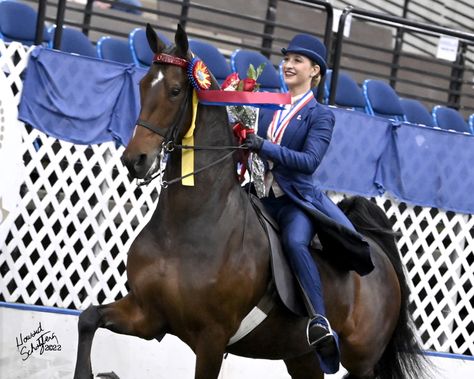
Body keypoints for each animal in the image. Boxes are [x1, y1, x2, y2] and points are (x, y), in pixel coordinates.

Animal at [73, 24, 426, 379]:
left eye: (174, 90)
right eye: (143, 85)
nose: (135, 160)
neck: (187, 224)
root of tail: (377, 252)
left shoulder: (212, 338)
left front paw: (254, 141)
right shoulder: (148, 314)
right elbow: (88, 318)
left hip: (362, 362)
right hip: (302, 356)